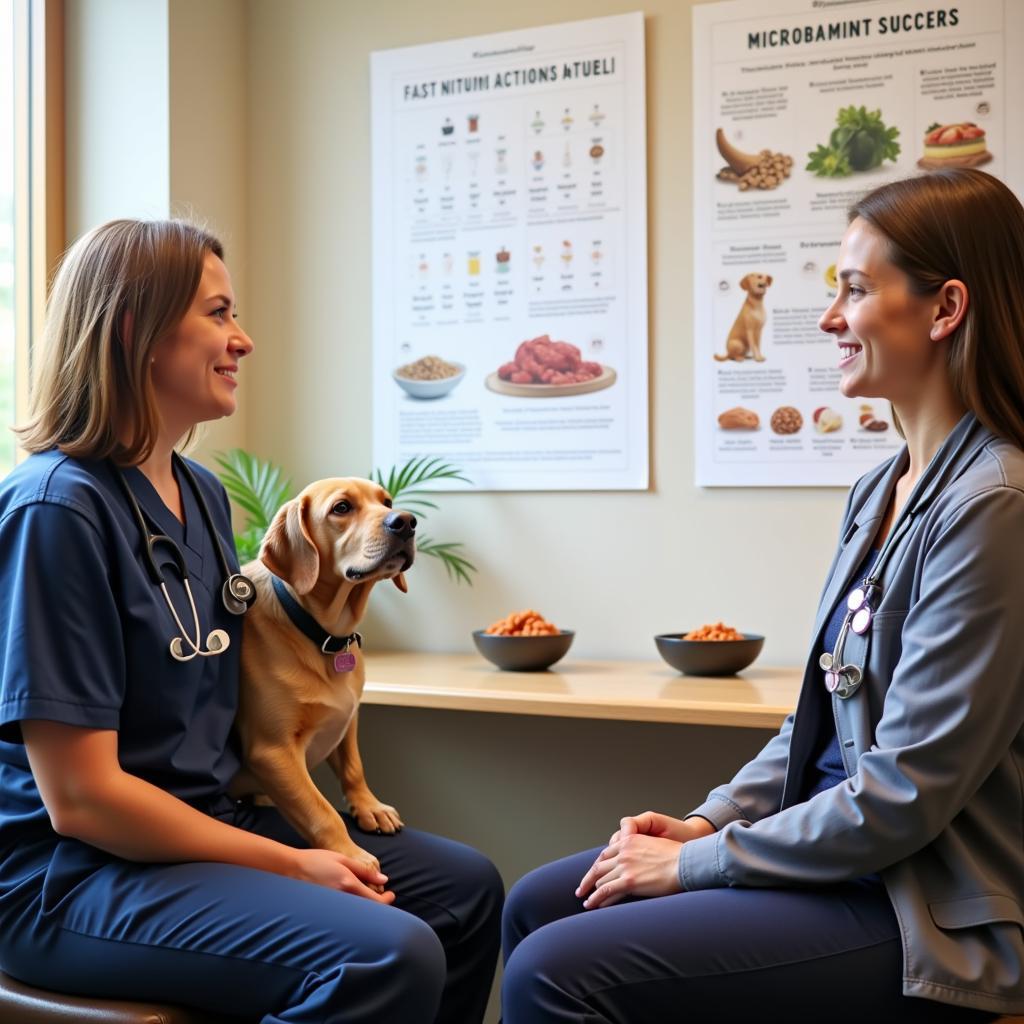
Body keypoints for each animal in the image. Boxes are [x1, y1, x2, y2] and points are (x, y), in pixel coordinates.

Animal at [230, 477, 413, 872]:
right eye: (341, 508)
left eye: (387, 502)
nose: (406, 522)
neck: (324, 634)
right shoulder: (273, 751)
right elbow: (320, 810)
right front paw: (350, 855)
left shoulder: (347, 719)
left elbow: (354, 767)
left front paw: (368, 806)